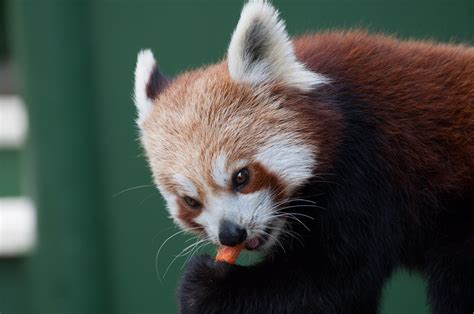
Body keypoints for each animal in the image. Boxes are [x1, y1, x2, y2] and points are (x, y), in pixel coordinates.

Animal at [132, 0, 474, 314]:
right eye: (190, 201)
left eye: (242, 176)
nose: (230, 234)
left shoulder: (369, 175)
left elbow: (334, 280)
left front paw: (208, 287)